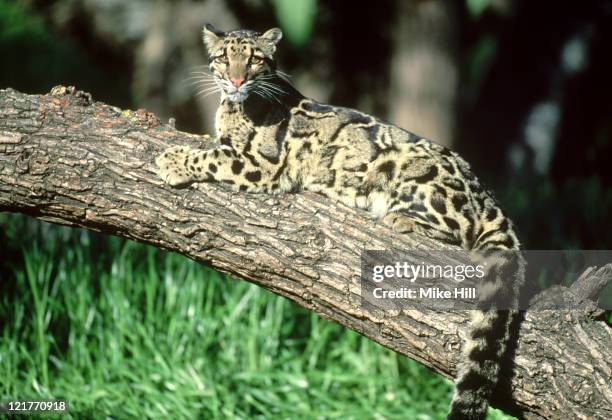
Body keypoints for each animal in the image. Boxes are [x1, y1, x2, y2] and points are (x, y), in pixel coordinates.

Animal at [155, 23, 524, 420]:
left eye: (253, 59)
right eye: (225, 58)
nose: (237, 79)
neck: (234, 105)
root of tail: (486, 193)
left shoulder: (262, 164)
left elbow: (212, 157)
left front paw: (173, 160)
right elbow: (212, 148)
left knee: (457, 229)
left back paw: (398, 218)